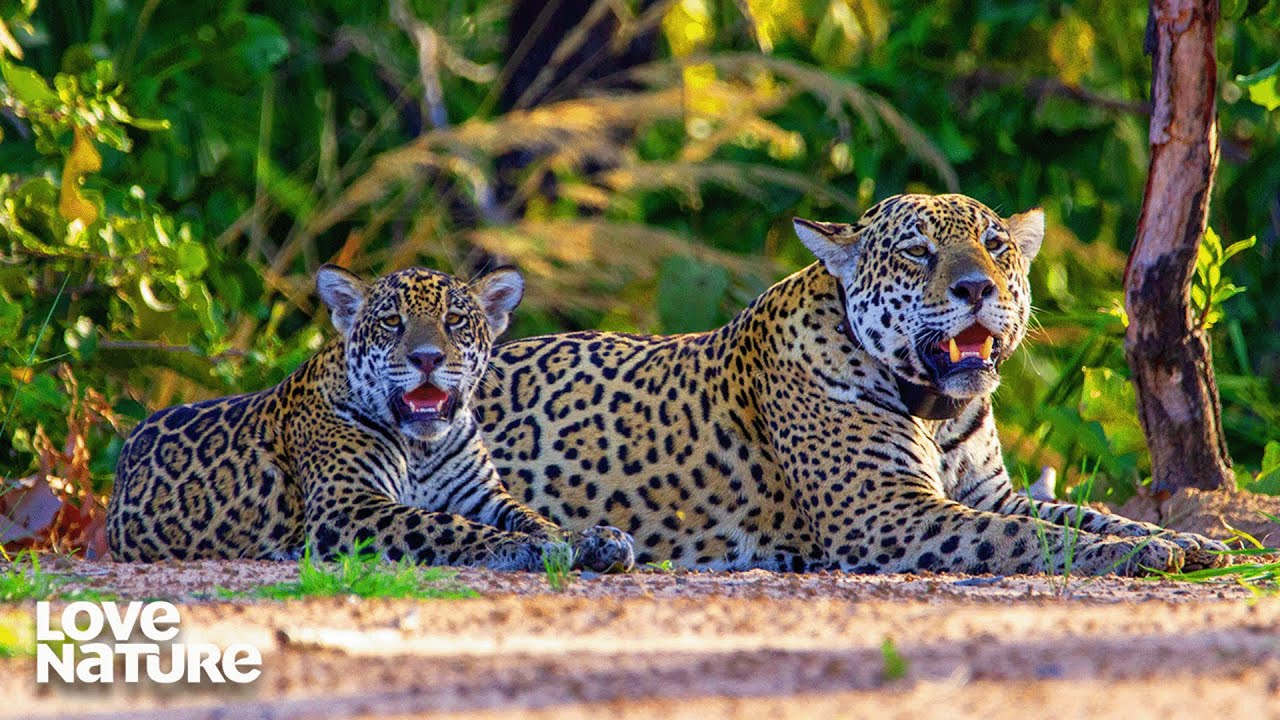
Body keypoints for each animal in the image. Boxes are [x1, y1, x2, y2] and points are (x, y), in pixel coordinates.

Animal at [107, 264, 635, 572]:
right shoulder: (347, 506)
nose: (427, 358)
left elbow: (532, 516)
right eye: (391, 322)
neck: (422, 448)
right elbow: (442, 525)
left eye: (454, 321)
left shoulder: (482, 495)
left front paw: (593, 539)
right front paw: (531, 549)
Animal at [473, 193, 1229, 576]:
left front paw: (1190, 541)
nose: (977, 287)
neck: (938, 411)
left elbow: (1080, 515)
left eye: (996, 245)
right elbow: (1028, 539)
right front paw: (1141, 551)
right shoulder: (885, 512)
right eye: (917, 251)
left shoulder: (990, 493)